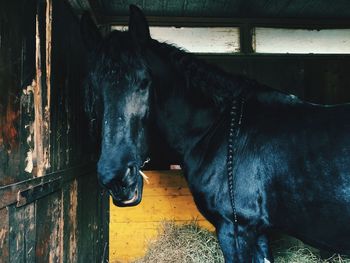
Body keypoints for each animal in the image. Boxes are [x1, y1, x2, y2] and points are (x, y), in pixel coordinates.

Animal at [80, 5, 350, 262]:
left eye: (144, 82)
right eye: (94, 87)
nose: (116, 178)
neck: (218, 130)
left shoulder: (236, 231)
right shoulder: (258, 233)